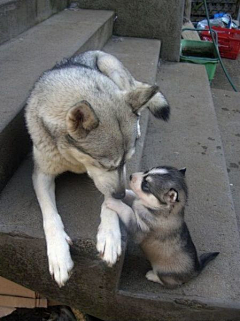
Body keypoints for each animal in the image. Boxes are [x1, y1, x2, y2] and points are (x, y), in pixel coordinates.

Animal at [25, 50, 170, 288]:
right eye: (104, 164)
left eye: (126, 161)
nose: (121, 194)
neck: (73, 159)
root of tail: (95, 51)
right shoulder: (41, 175)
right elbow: (50, 215)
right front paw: (58, 254)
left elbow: (108, 201)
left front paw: (109, 235)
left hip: (113, 71)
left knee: (136, 102)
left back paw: (138, 124)